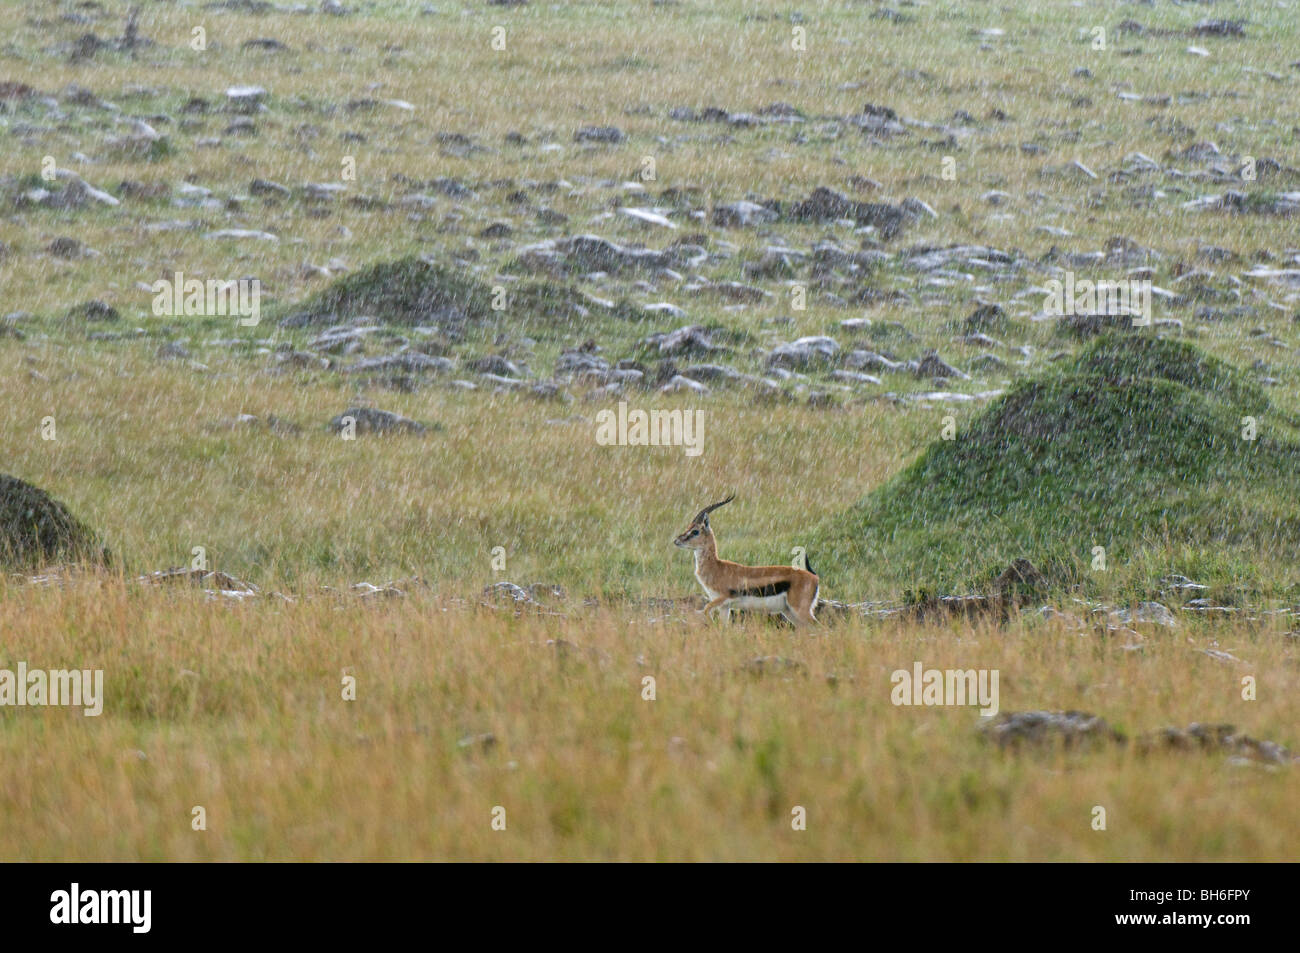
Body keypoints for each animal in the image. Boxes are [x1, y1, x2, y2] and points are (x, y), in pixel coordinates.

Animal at [673, 495, 819, 626]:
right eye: (688, 527)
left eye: (695, 531)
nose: (676, 541)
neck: (717, 568)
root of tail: (814, 577)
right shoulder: (724, 607)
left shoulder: (723, 598)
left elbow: (705, 610)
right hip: (789, 612)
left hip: (800, 610)